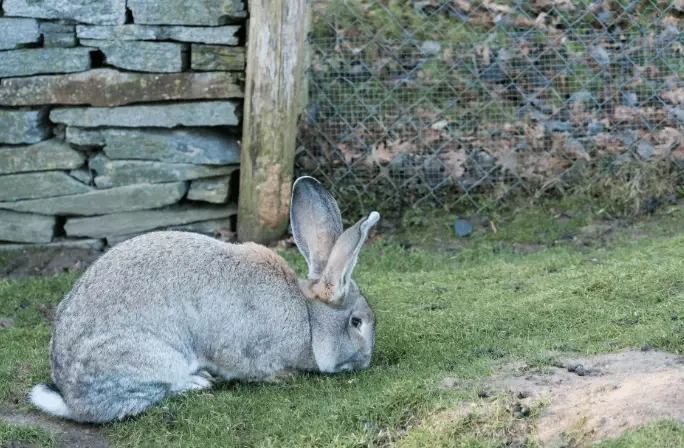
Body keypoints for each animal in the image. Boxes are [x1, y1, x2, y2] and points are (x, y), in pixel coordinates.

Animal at [28, 176, 380, 423]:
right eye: (356, 322)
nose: (366, 361)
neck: (308, 318)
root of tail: (72, 399)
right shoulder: (246, 349)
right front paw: (283, 376)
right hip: (152, 357)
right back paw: (198, 382)